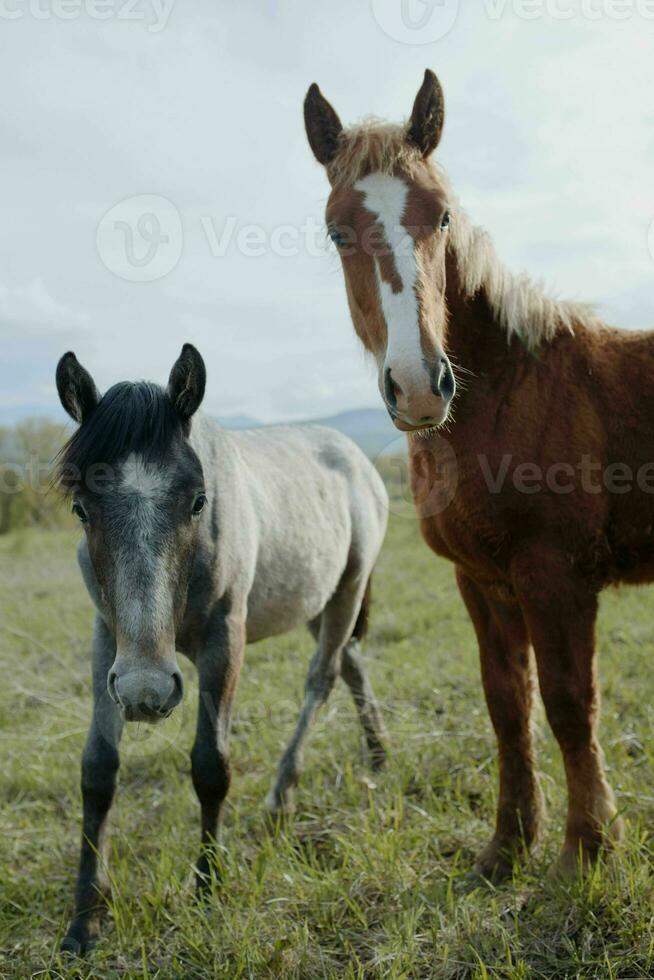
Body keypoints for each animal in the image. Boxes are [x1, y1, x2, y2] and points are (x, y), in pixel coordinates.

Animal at [55, 344, 390, 956]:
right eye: (81, 508)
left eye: (198, 502)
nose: (146, 693)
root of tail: (355, 457)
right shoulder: (107, 643)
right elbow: (98, 771)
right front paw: (84, 919)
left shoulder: (223, 643)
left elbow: (210, 765)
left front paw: (208, 886)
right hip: (316, 599)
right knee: (352, 666)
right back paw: (377, 753)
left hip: (348, 590)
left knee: (323, 677)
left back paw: (282, 796)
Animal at [302, 71, 654, 880]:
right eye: (338, 231)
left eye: (442, 215)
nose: (419, 386)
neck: (508, 391)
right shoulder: (482, 580)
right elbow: (508, 705)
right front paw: (510, 844)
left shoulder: (556, 575)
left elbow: (568, 702)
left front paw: (587, 847)